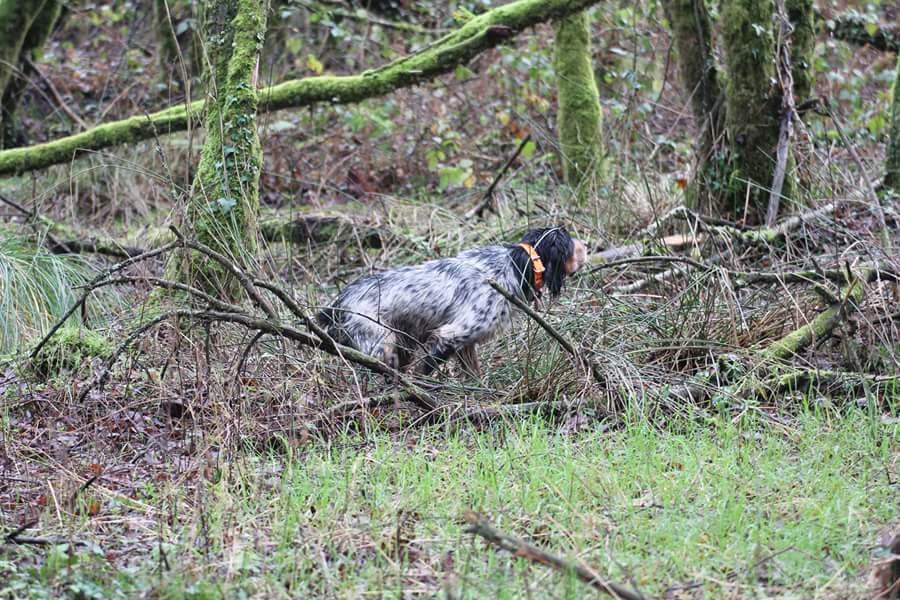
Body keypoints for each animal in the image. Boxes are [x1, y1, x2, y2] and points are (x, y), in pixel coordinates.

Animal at [318, 227, 592, 378]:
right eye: (570, 242)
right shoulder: (454, 334)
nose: (587, 245)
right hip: (382, 343)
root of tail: (339, 301)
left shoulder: (466, 343)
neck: (517, 263)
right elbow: (427, 367)